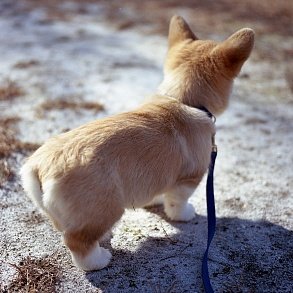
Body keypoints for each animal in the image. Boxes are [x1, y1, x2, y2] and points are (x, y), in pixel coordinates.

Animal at [20, 16, 253, 270]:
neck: (183, 98)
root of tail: (39, 166)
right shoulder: (188, 179)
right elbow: (178, 202)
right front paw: (184, 215)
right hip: (105, 209)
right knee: (77, 241)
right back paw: (98, 260)